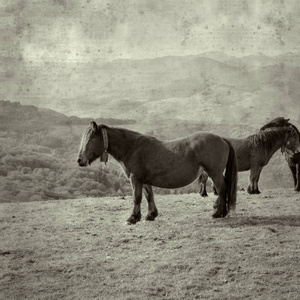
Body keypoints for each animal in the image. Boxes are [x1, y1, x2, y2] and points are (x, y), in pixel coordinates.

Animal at [78, 121, 238, 223]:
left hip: (214, 173)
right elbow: (149, 196)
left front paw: (133, 218)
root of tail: (222, 139)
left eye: (90, 139)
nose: (80, 160)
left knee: (222, 189)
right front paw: (151, 215)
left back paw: (218, 213)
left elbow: (137, 197)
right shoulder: (144, 180)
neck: (131, 147)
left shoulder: (135, 178)